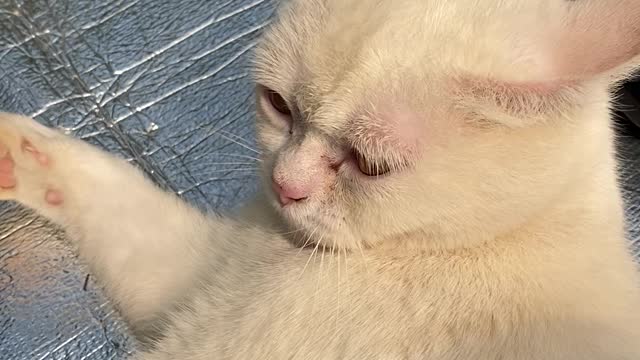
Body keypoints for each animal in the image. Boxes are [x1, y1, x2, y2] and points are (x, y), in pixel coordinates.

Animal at [1, 0, 640, 358]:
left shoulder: (208, 342)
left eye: (371, 165)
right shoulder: (178, 282)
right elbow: (110, 189)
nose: (286, 184)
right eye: (279, 105)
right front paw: (11, 147)